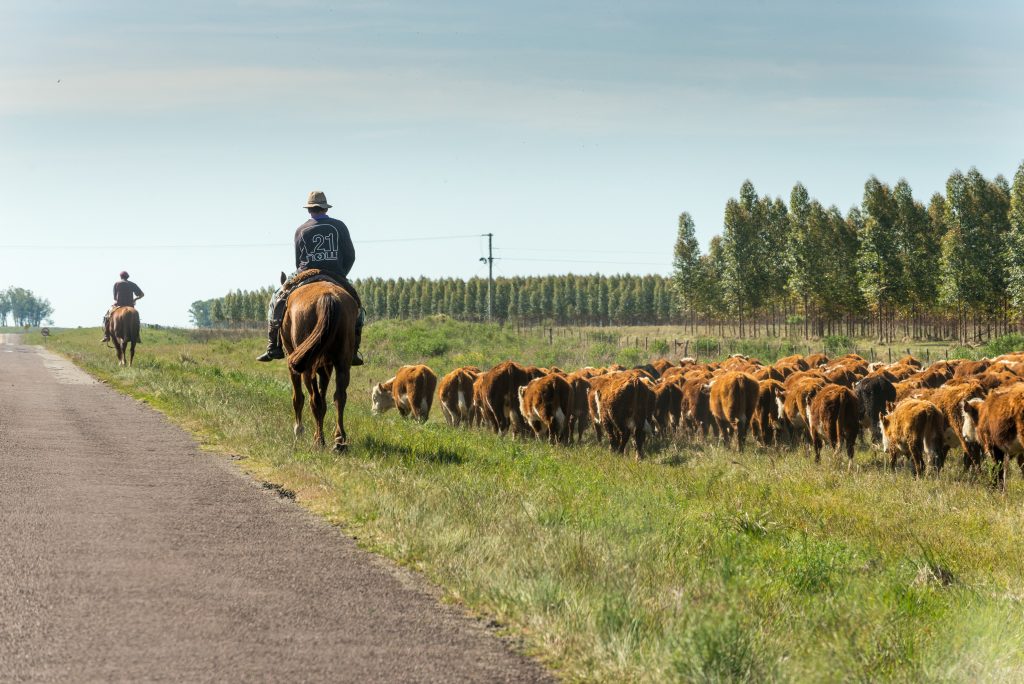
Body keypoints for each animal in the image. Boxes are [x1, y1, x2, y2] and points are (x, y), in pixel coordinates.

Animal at [280, 278, 360, 454]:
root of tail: (327, 297)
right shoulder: (326, 367)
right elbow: (324, 400)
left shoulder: (293, 364)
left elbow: (298, 398)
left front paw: (298, 430)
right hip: (343, 363)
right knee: (339, 397)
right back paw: (339, 440)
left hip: (305, 367)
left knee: (313, 400)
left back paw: (319, 441)